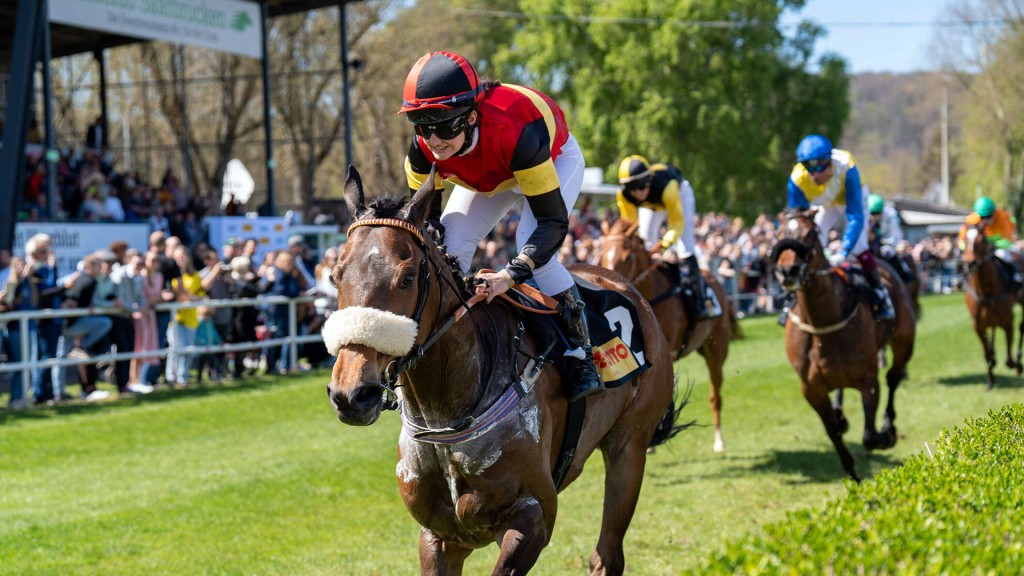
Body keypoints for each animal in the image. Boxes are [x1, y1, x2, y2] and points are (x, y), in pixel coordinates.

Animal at [323, 163, 684, 569]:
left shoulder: (532, 517)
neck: (446, 414)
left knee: (607, 554)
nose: (352, 395)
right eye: (336, 276)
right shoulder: (439, 535)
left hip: (629, 447)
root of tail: (628, 287)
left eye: (407, 277)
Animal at [770, 208, 917, 481]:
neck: (822, 322)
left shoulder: (868, 381)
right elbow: (832, 430)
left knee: (893, 377)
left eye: (810, 235)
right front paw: (852, 471)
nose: (787, 271)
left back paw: (888, 424)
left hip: (904, 340)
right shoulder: (811, 389)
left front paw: (884, 436)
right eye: (778, 234)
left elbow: (869, 436)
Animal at [958, 222, 1024, 387]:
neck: (986, 290)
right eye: (965, 239)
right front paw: (990, 379)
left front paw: (1015, 364)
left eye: (981, 240)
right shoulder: (978, 325)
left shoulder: (1008, 321)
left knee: (1022, 327)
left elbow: (1008, 358)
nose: (970, 263)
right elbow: (987, 353)